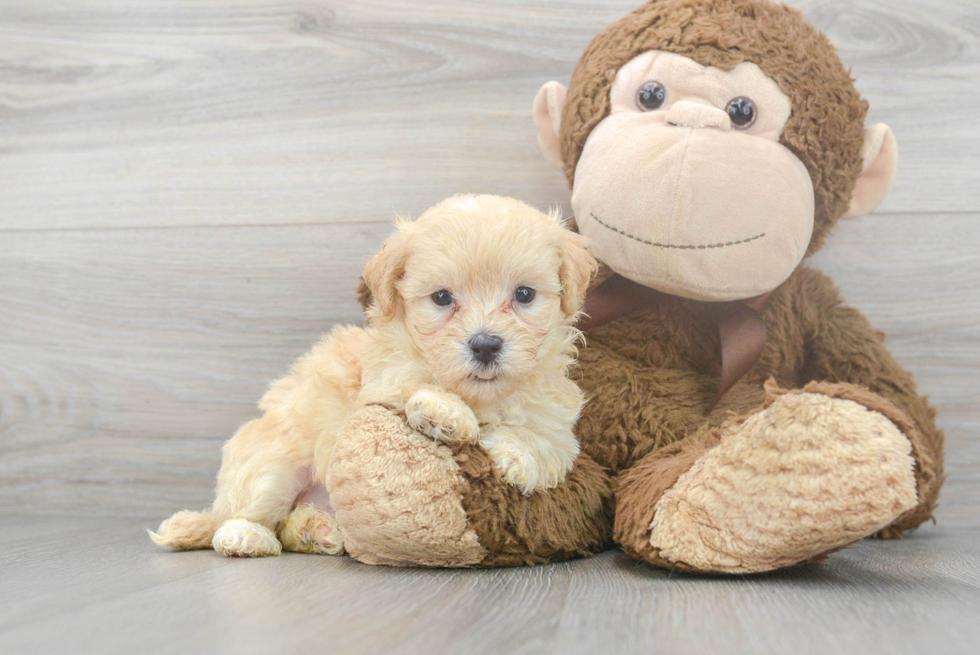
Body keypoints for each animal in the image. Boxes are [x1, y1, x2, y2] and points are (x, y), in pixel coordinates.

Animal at [151, 195, 596, 560]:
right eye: (441, 298)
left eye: (524, 295)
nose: (485, 345)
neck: (481, 395)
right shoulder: (380, 382)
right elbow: (410, 387)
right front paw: (445, 413)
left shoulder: (557, 420)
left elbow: (547, 441)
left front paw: (516, 455)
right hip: (274, 464)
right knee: (244, 518)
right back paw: (247, 536)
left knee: (289, 527)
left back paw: (317, 530)